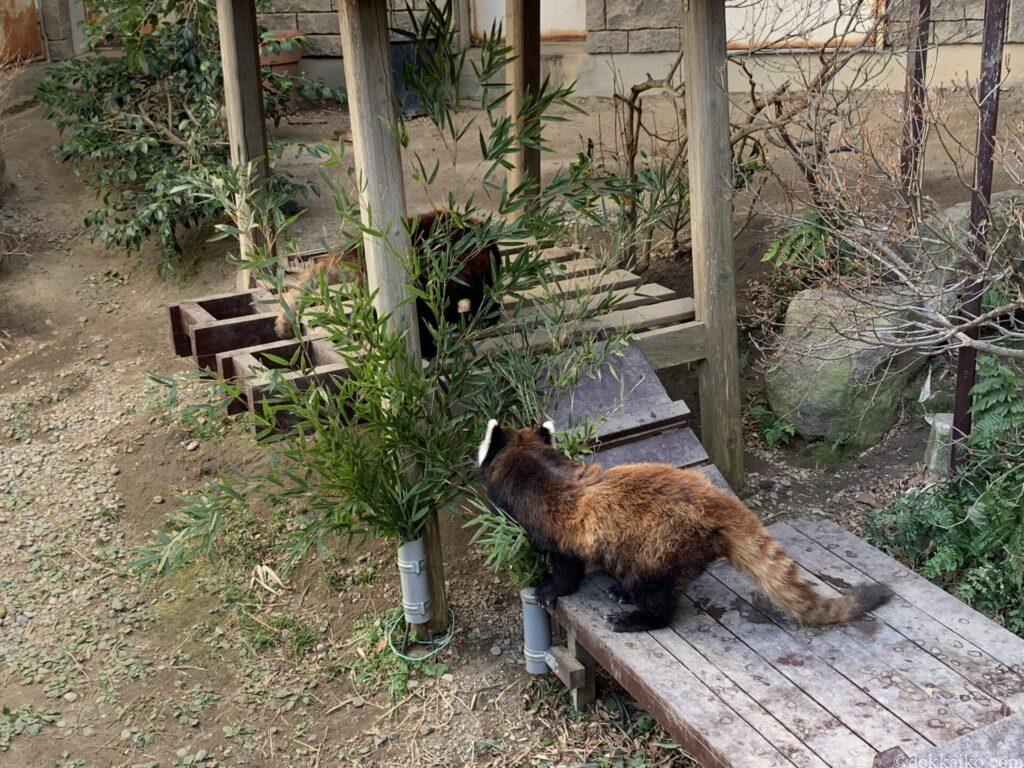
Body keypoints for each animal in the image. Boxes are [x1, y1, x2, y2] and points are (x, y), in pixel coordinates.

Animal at [477, 423, 888, 634]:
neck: (540, 469)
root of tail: (717, 499)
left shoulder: (556, 528)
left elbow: (565, 568)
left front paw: (549, 588)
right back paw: (623, 594)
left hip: (661, 546)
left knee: (658, 596)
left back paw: (635, 618)